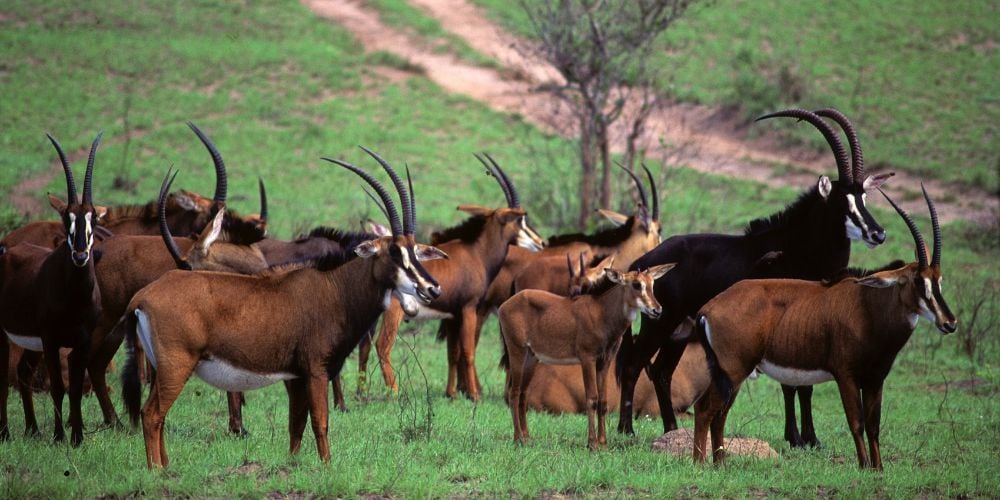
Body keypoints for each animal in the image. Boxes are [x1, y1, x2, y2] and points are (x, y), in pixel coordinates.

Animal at [0, 133, 104, 446]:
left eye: (93, 218)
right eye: (66, 217)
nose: (80, 255)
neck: (76, 298)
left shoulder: (82, 341)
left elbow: (75, 388)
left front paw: (78, 438)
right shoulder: (51, 339)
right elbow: (58, 387)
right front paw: (59, 437)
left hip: (32, 344)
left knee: (22, 372)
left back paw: (32, 430)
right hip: (8, 336)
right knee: (4, 378)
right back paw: (6, 433)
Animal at [360, 153, 544, 402]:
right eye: (519, 220)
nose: (540, 242)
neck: (477, 252)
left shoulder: (452, 316)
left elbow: (452, 353)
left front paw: (452, 394)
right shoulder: (469, 308)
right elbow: (468, 350)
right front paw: (474, 395)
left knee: (364, 347)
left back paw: (361, 393)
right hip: (393, 313)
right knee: (382, 346)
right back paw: (394, 393)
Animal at [498, 264, 672, 452]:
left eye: (652, 283)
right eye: (636, 284)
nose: (657, 310)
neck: (603, 313)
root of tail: (503, 306)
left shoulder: (605, 360)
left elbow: (603, 400)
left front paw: (603, 443)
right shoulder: (587, 358)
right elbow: (592, 398)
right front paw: (592, 443)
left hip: (532, 357)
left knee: (523, 393)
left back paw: (527, 438)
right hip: (517, 350)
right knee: (514, 393)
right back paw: (518, 439)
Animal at [616, 109, 892, 446]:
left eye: (864, 197)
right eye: (843, 202)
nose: (878, 234)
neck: (798, 246)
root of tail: (643, 262)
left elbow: (804, 385)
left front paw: (808, 438)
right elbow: (793, 384)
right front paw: (797, 437)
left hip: (680, 329)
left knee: (661, 371)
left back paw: (671, 428)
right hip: (660, 322)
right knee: (633, 364)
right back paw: (625, 429)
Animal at [692, 187, 956, 468]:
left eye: (939, 281)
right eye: (917, 281)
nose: (949, 323)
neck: (866, 306)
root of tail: (708, 309)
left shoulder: (875, 380)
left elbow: (874, 426)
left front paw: (878, 469)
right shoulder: (846, 376)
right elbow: (857, 422)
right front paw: (864, 466)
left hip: (731, 373)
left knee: (718, 412)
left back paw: (720, 463)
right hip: (734, 369)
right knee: (707, 409)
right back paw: (700, 463)